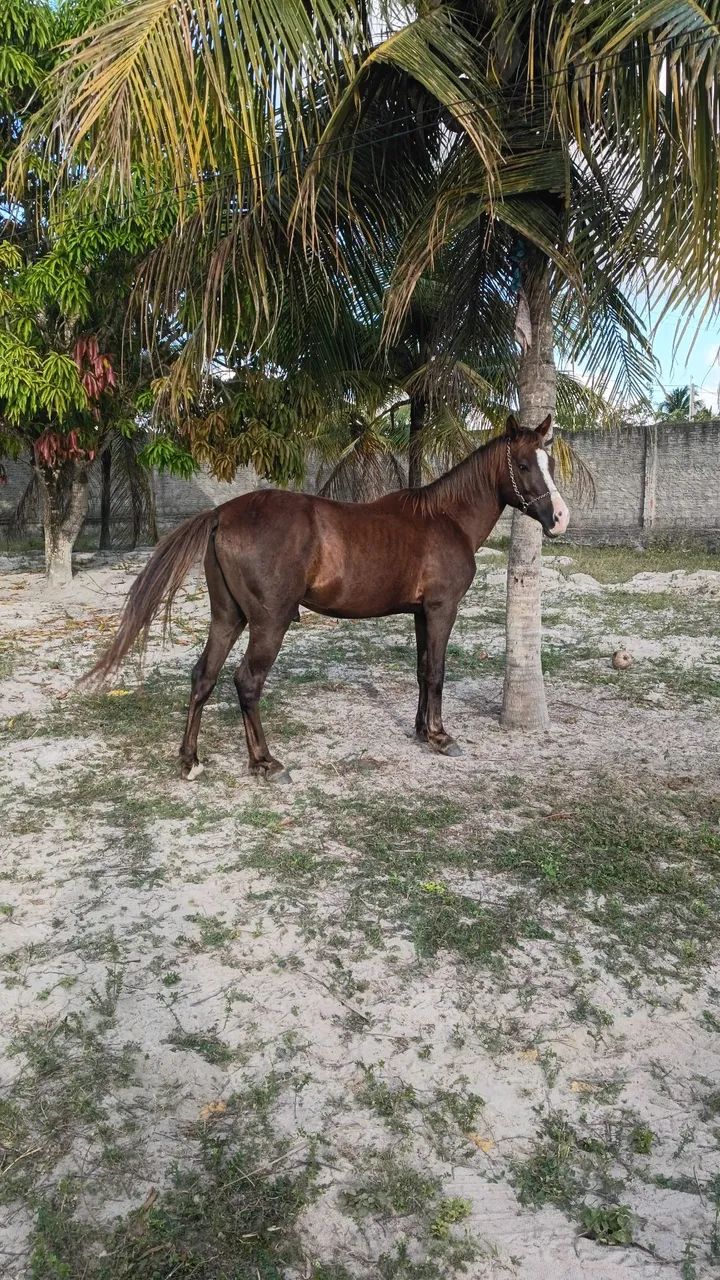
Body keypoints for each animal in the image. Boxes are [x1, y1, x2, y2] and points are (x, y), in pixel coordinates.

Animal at [88, 415, 569, 781]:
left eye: (548, 462)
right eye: (523, 464)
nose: (560, 518)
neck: (444, 518)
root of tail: (221, 513)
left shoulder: (420, 614)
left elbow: (421, 670)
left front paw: (420, 731)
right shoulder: (441, 610)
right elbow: (436, 673)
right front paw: (440, 737)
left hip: (228, 618)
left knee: (203, 677)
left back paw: (190, 760)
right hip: (269, 623)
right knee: (247, 682)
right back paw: (265, 763)